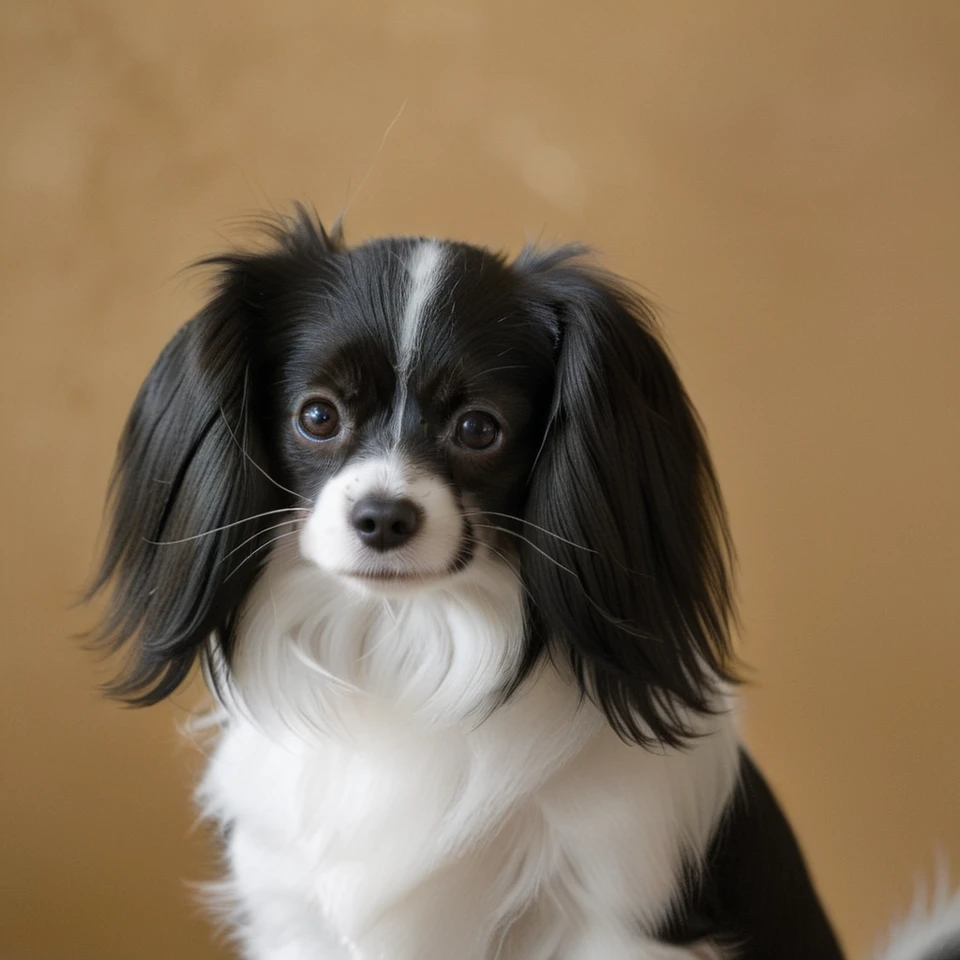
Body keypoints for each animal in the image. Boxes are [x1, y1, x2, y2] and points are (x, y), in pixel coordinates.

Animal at [92, 206, 960, 956]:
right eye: (317, 417)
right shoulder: (294, 914)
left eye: (479, 429)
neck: (407, 648)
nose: (382, 517)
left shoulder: (616, 912)